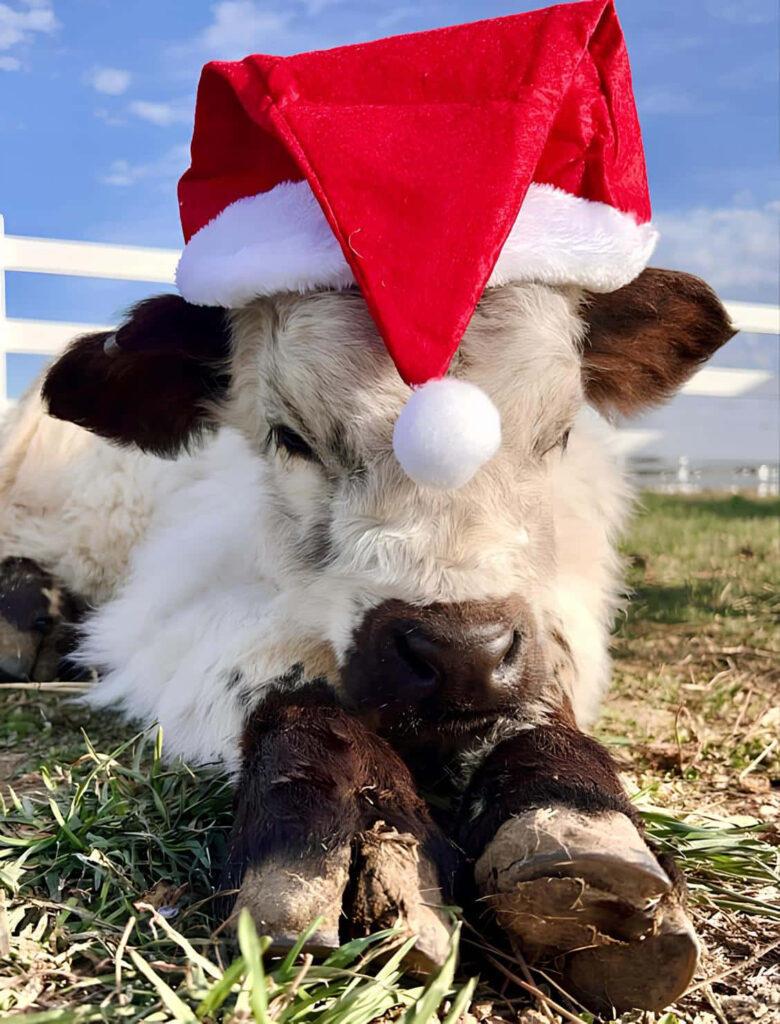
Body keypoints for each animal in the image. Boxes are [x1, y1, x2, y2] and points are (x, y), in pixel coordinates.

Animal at [0, 268, 734, 1012]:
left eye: (556, 434)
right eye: (288, 436)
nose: (459, 654)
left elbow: (542, 689)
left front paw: (576, 819)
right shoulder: (168, 609)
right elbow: (282, 679)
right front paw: (347, 837)